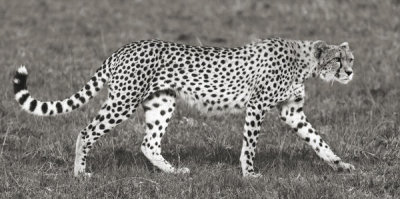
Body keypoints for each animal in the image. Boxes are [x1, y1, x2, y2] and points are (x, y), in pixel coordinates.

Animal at [14, 37, 354, 177]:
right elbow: (250, 145)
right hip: (123, 101)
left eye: (350, 58)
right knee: (86, 132)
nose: (350, 72)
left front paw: (340, 165)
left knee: (148, 144)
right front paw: (249, 174)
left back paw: (174, 172)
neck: (306, 61)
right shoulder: (257, 105)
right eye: (338, 60)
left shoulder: (291, 111)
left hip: (162, 102)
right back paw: (79, 172)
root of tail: (123, 48)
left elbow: (319, 141)